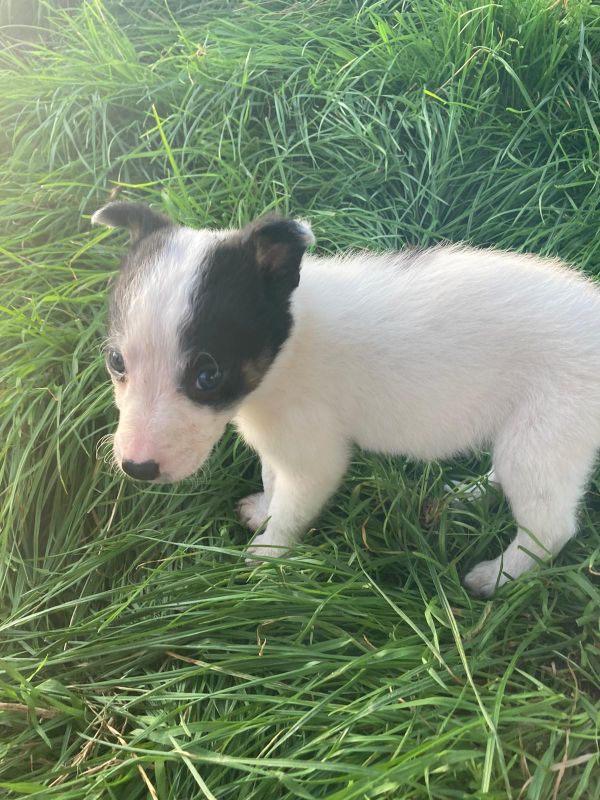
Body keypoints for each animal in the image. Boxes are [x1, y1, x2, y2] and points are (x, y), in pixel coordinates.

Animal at [90, 203, 600, 596]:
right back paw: (469, 493)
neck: (288, 344)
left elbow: (291, 510)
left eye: (207, 375)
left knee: (549, 525)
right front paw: (262, 508)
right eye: (116, 361)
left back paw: (496, 577)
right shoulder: (277, 442)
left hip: (548, 430)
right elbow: (271, 479)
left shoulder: (313, 456)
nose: (137, 469)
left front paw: (267, 556)